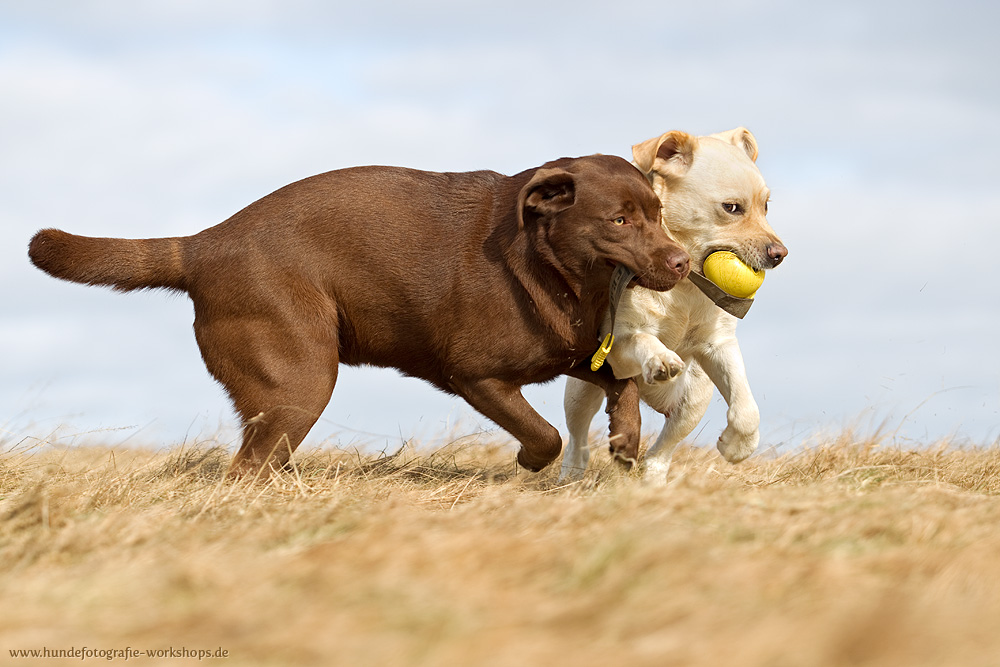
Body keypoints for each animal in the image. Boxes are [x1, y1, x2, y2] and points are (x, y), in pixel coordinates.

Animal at [29, 155, 688, 474]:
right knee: (246, 467)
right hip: (300, 379)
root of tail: (203, 244)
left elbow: (625, 383)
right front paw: (531, 461)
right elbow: (545, 433)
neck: (556, 271)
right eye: (620, 220)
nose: (682, 262)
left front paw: (625, 441)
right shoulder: (476, 376)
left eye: (658, 213)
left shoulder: (574, 351)